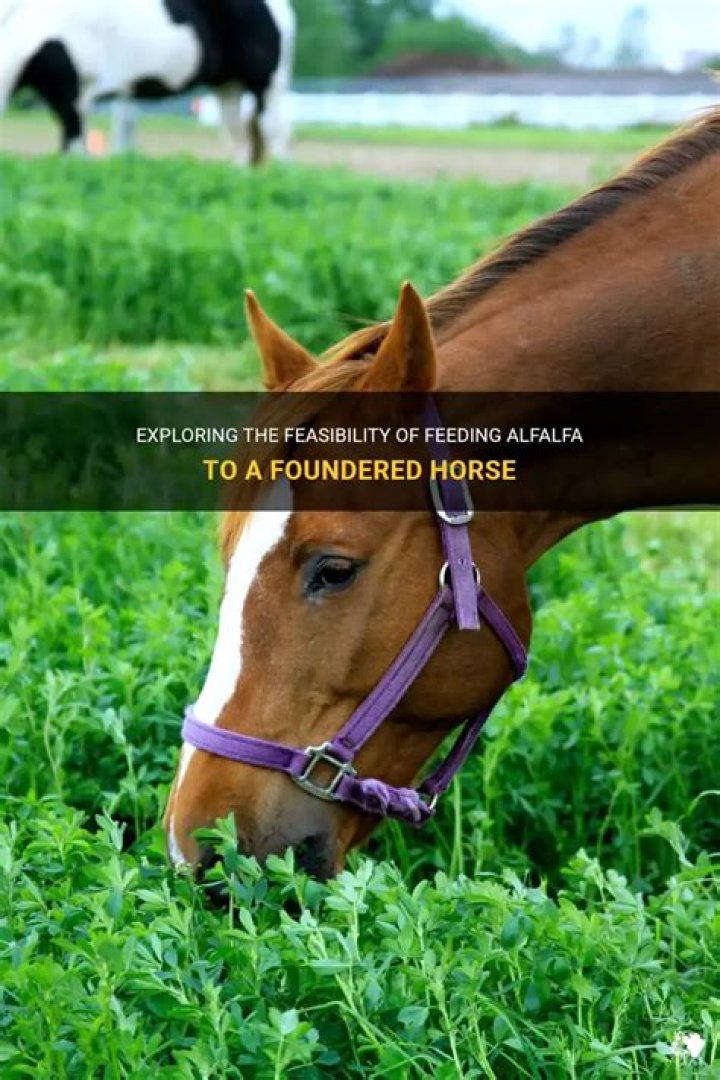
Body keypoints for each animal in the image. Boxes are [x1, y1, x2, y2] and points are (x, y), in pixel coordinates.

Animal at [0, 0, 295, 163]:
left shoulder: (73, 92)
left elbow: (73, 146)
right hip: (230, 85)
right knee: (238, 138)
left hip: (268, 83)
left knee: (274, 130)